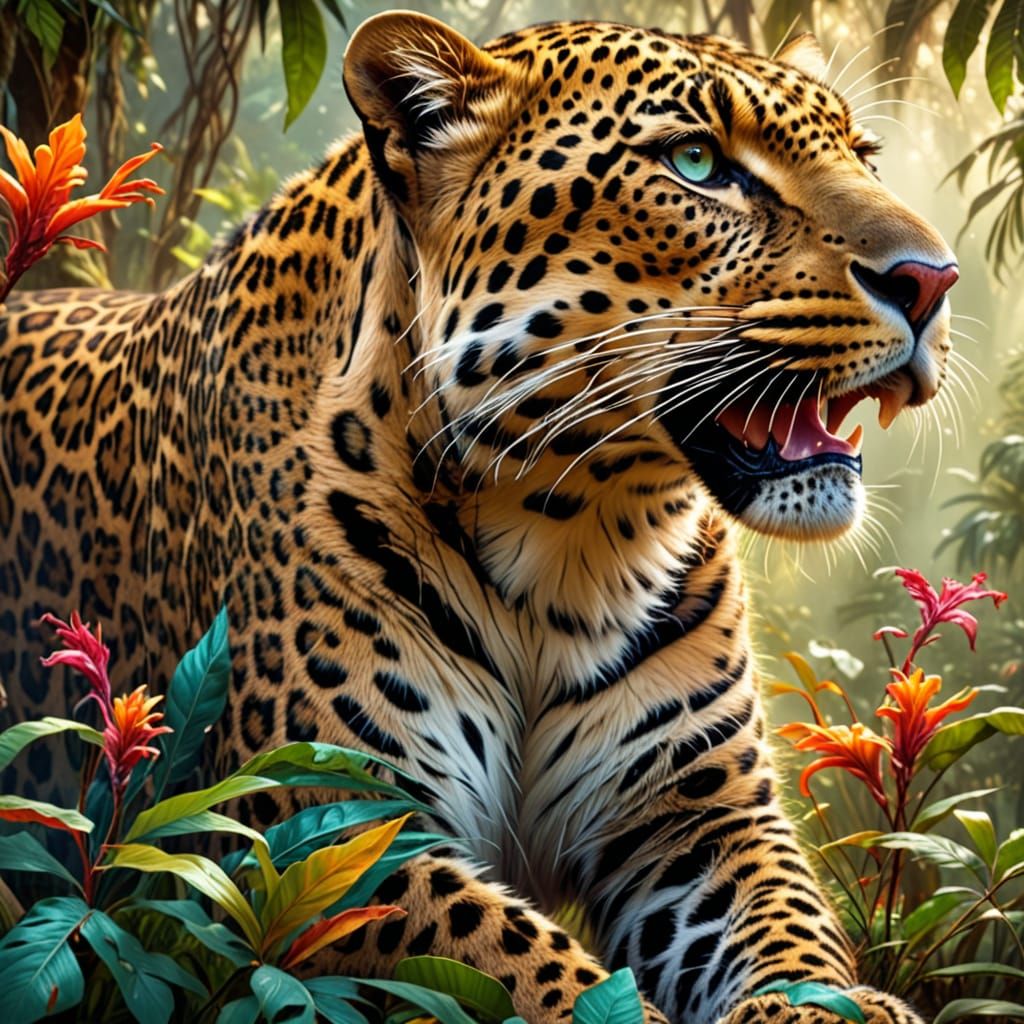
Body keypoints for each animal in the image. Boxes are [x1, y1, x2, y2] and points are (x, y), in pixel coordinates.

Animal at [0, 11, 959, 1023]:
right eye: (696, 161)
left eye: (863, 157)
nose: (934, 281)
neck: (575, 539)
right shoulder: (326, 823)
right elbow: (534, 970)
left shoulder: (698, 814)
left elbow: (789, 925)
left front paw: (835, 1006)